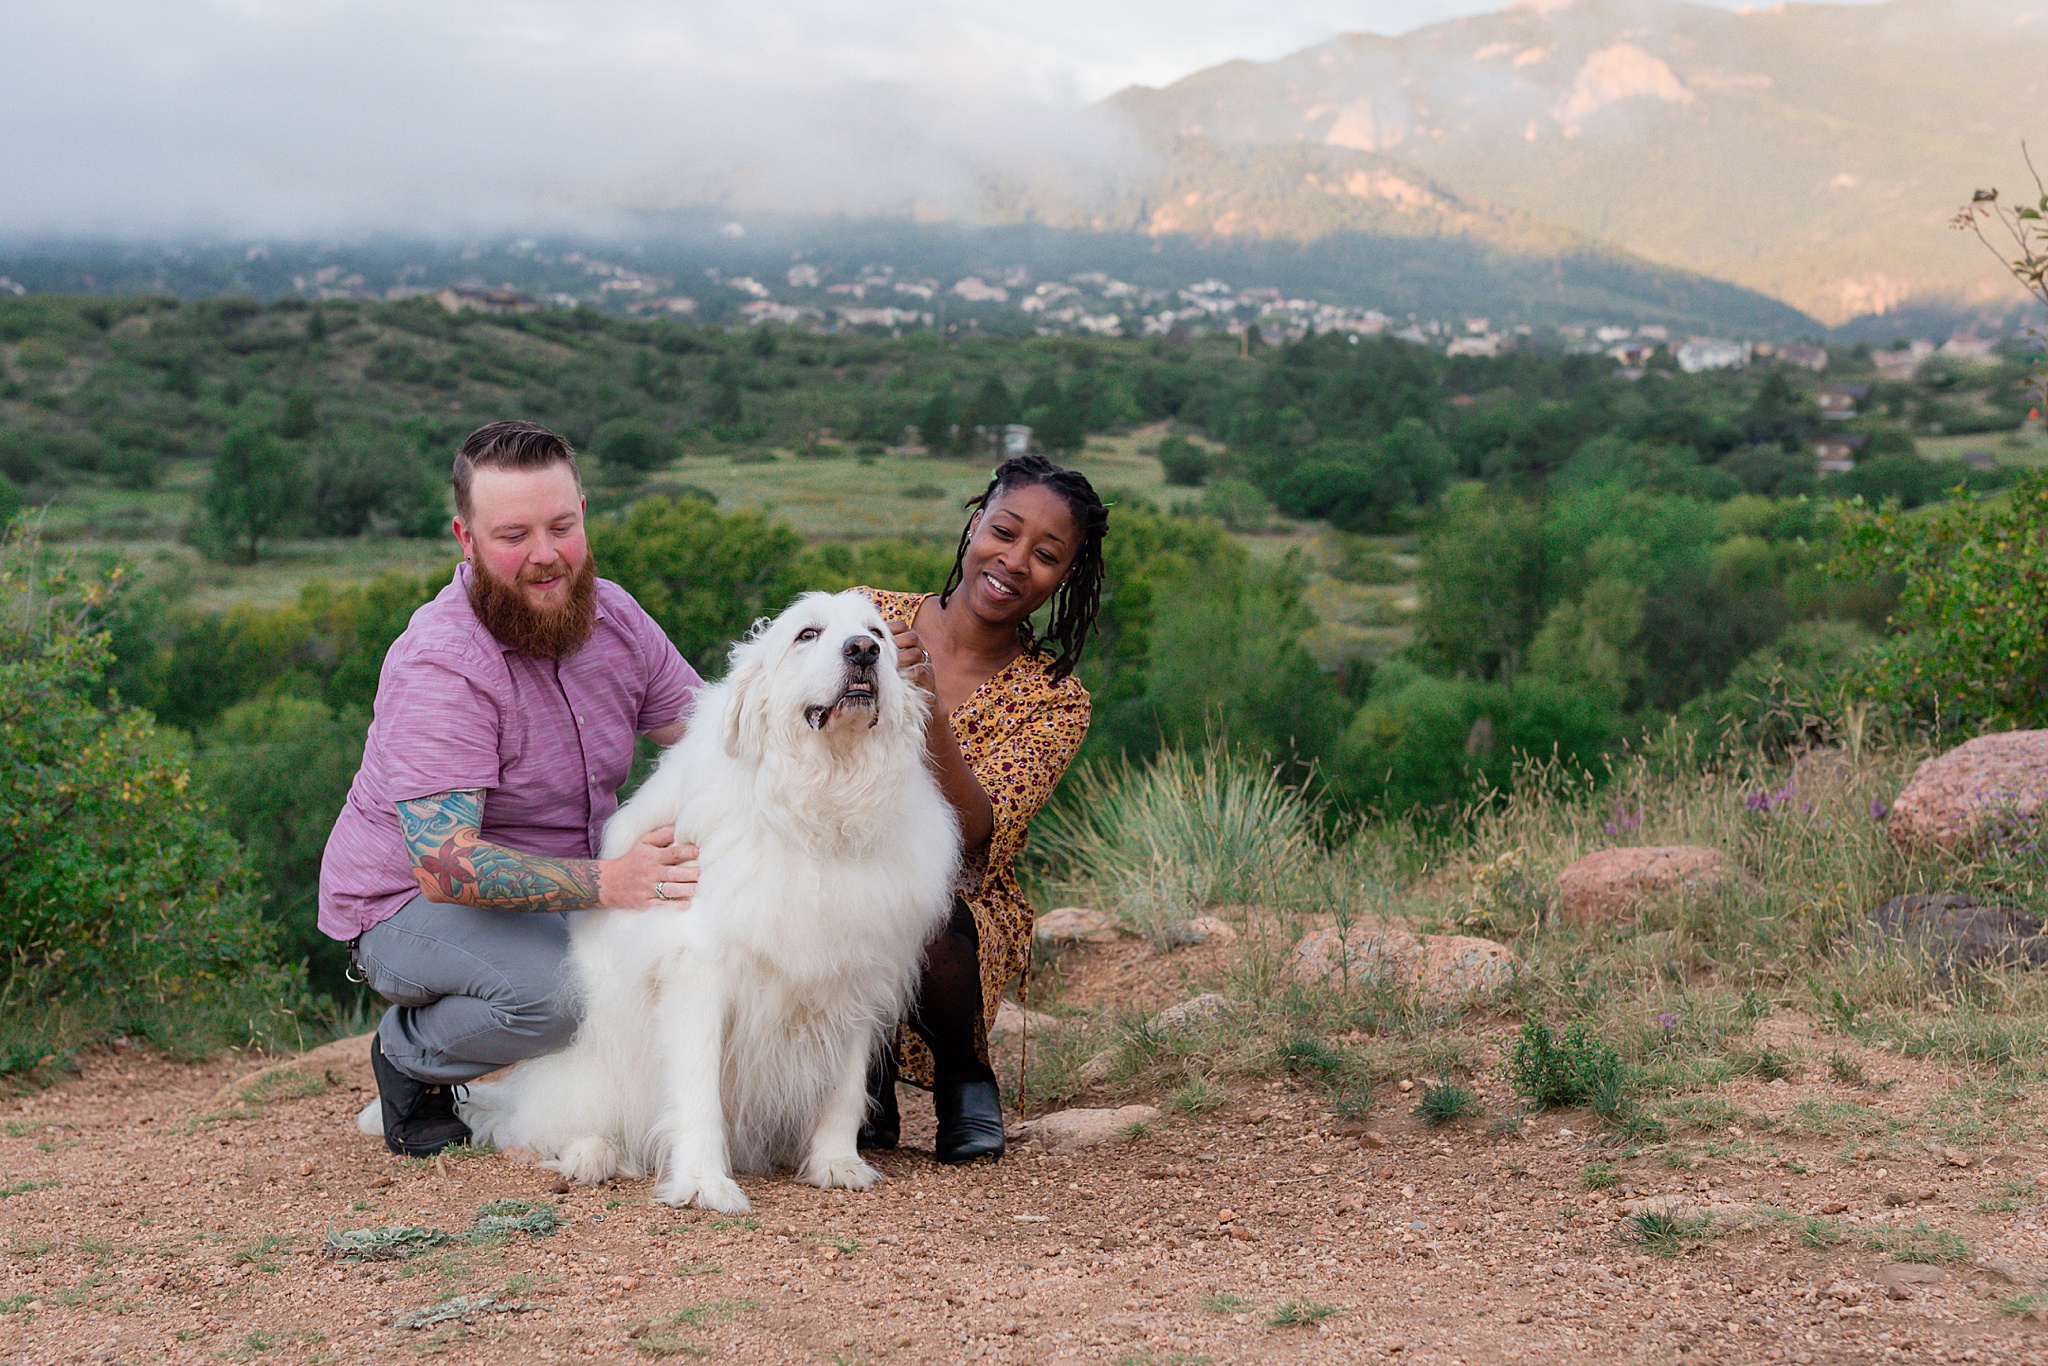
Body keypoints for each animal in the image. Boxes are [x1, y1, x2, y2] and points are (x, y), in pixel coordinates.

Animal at [454, 593, 958, 1212]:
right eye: (808, 634)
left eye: (880, 635)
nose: (862, 651)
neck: (819, 809)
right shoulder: (698, 971)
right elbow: (698, 1092)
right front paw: (703, 1184)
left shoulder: (858, 971)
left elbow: (844, 1088)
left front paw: (837, 1163)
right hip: (592, 1063)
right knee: (550, 1121)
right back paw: (590, 1155)